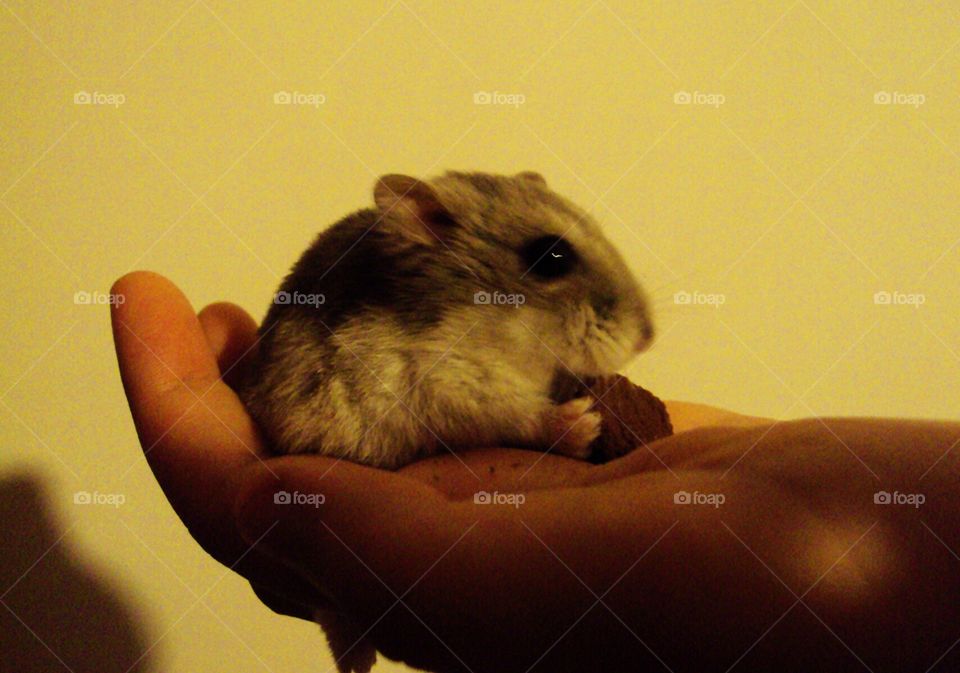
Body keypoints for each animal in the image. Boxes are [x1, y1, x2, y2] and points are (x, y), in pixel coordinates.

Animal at [237, 170, 654, 673]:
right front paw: (586, 422)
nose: (649, 337)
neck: (493, 331)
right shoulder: (449, 386)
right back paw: (357, 663)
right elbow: (518, 414)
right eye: (551, 255)